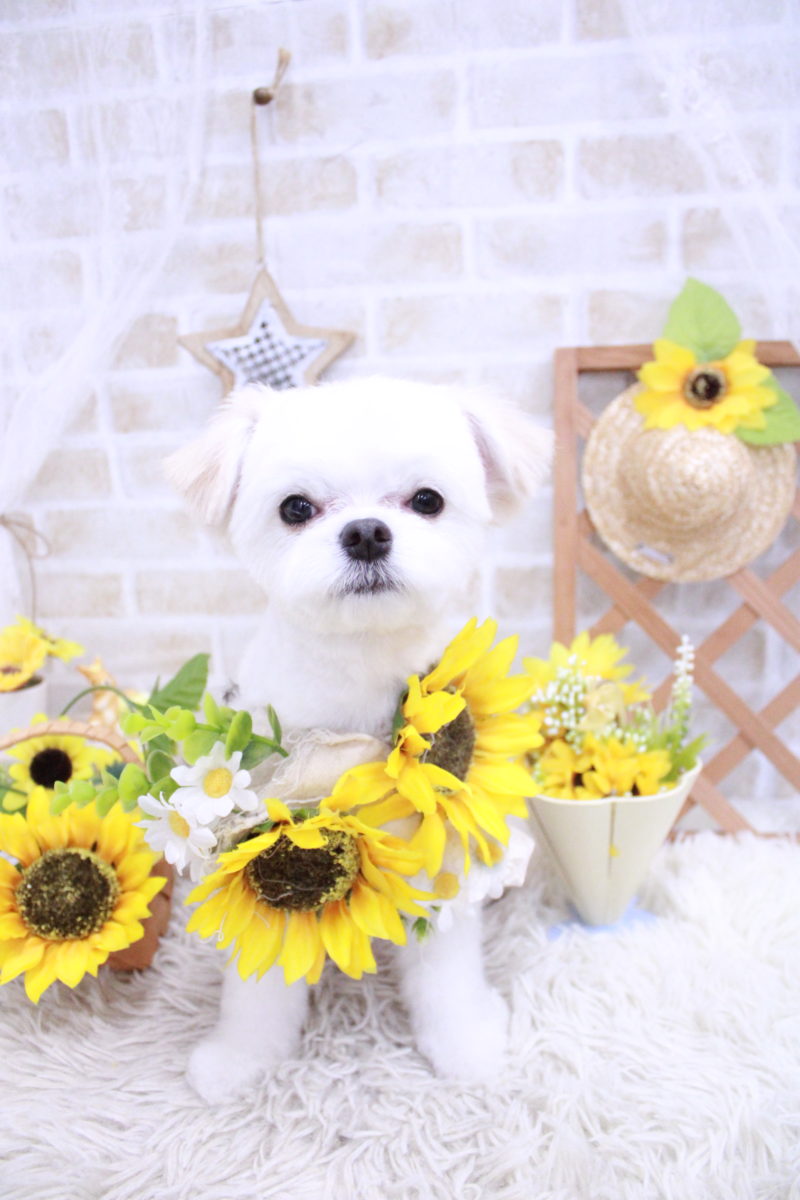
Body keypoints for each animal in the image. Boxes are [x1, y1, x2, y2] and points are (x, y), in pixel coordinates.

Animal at [166, 376, 552, 1103]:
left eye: (427, 500)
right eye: (296, 508)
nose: (368, 531)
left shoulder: (440, 848)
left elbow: (447, 970)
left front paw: (465, 1045)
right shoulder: (258, 830)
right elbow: (259, 977)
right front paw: (242, 1057)